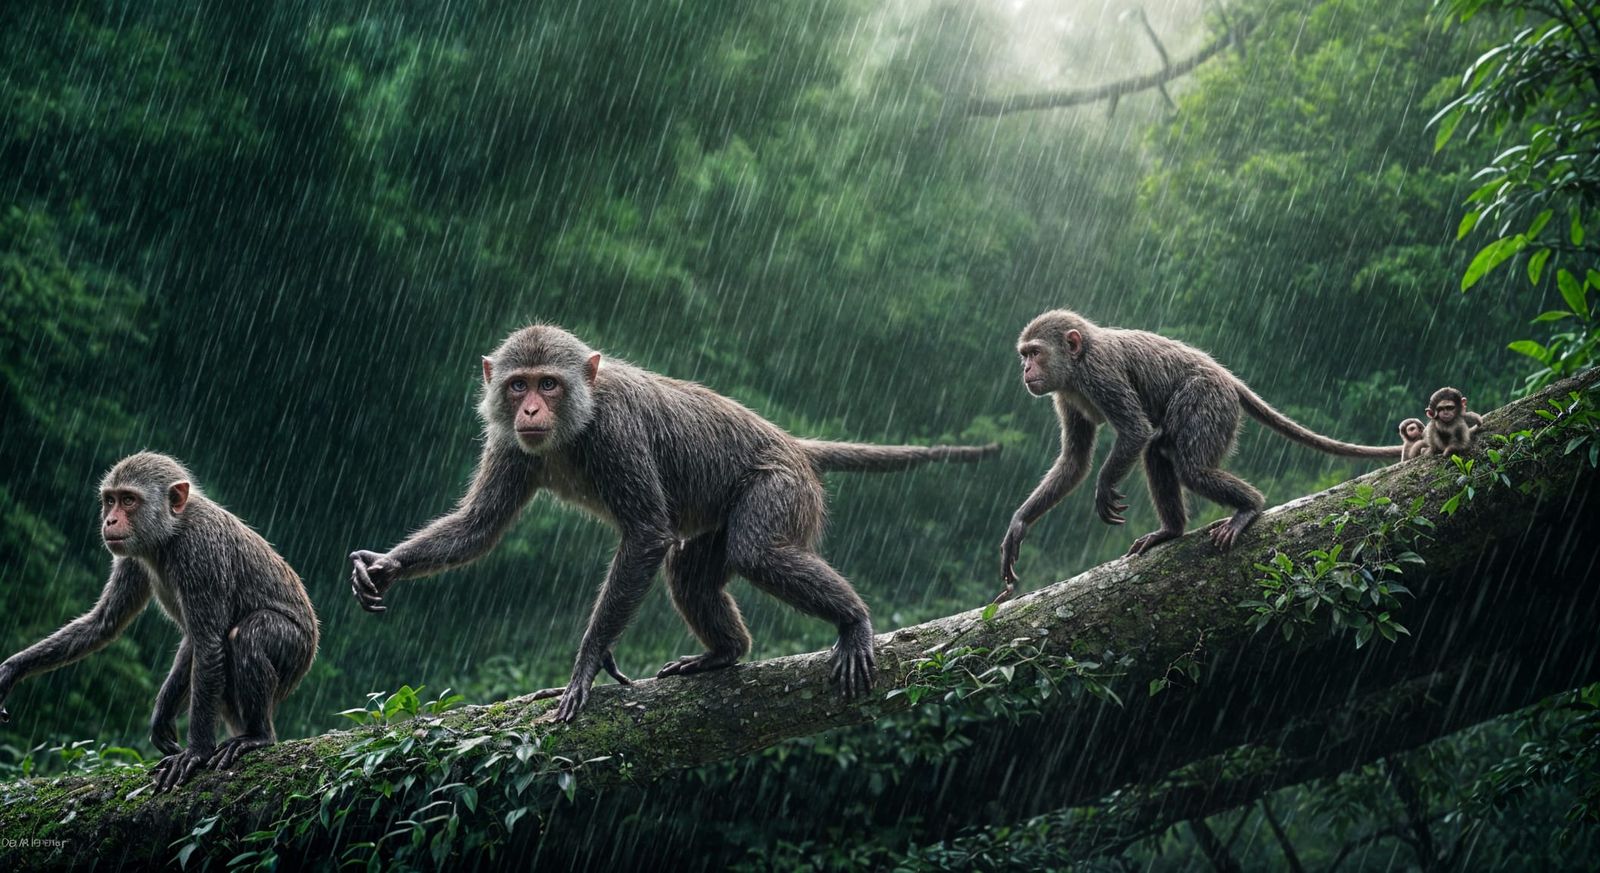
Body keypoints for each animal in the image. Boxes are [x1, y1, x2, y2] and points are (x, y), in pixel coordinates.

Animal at [0, 453, 319, 791]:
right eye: (110, 500)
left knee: (249, 634)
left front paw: (197, 751)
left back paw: (259, 736)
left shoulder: (200, 551)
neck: (171, 532)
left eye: (128, 500)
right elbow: (104, 624)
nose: (110, 520)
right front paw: (12, 670)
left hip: (298, 653)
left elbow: (208, 645)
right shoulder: (132, 556)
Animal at [349, 325, 998, 723]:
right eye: (518, 386)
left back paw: (853, 620)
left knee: (756, 550)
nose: (530, 408)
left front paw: (589, 661)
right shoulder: (511, 443)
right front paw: (387, 566)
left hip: (783, 487)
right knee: (690, 568)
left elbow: (645, 536)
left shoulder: (615, 431)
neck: (575, 424)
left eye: (548, 384)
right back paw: (726, 653)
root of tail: (794, 445)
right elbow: (479, 525)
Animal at [995, 310, 1401, 603]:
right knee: (1159, 452)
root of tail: (1225, 376)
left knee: (1189, 466)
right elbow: (1076, 462)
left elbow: (1135, 431)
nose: (1025, 369)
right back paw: (1171, 531)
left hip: (1210, 402)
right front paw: (1020, 523)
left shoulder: (1100, 374)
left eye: (1034, 353)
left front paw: (1105, 485)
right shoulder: (1065, 393)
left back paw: (1249, 507)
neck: (1077, 365)